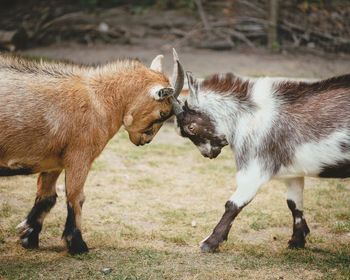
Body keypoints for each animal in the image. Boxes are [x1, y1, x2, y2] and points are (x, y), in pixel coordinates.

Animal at [0, 49, 185, 254]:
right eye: (162, 113)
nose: (145, 140)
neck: (101, 100)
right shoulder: (80, 156)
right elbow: (76, 197)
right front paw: (77, 244)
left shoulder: (53, 160)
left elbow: (47, 197)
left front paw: (29, 237)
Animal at [174, 70, 350, 252]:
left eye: (191, 127)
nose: (207, 154)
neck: (247, 117)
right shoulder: (293, 173)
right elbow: (294, 204)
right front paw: (297, 241)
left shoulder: (254, 168)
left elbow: (233, 204)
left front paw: (210, 242)